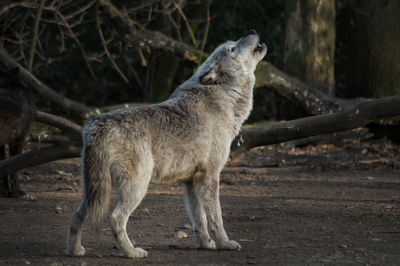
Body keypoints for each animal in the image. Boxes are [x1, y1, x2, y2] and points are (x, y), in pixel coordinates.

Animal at [67, 30, 268, 258]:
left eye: (234, 43)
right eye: (233, 48)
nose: (252, 31)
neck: (224, 96)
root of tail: (96, 124)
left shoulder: (191, 182)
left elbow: (199, 220)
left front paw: (206, 244)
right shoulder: (210, 177)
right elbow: (216, 217)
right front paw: (225, 244)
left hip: (95, 191)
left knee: (76, 216)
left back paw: (75, 250)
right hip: (137, 186)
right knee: (116, 219)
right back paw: (133, 253)